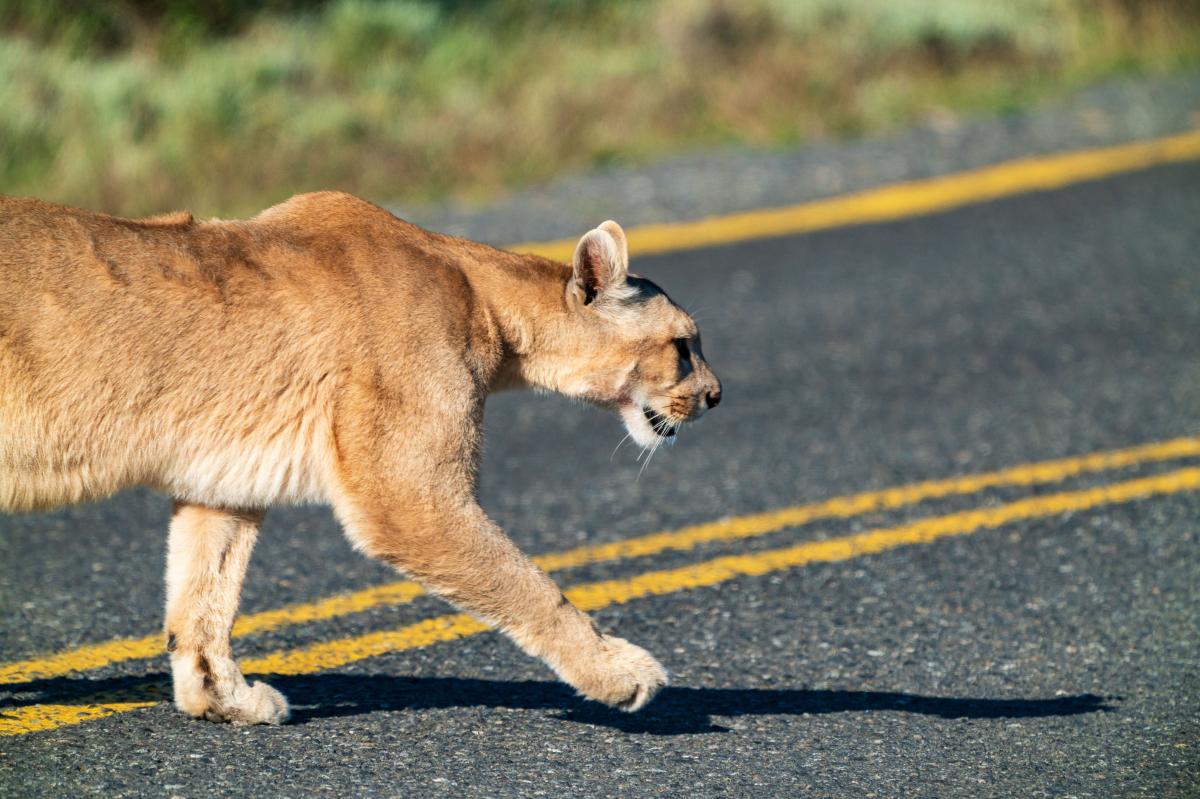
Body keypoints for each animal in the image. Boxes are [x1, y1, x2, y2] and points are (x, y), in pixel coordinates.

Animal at [0, 192, 721, 724]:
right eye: (684, 344)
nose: (716, 395)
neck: (485, 299)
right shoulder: (407, 495)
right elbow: (530, 584)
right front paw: (623, 674)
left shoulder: (224, 476)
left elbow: (204, 596)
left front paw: (224, 700)